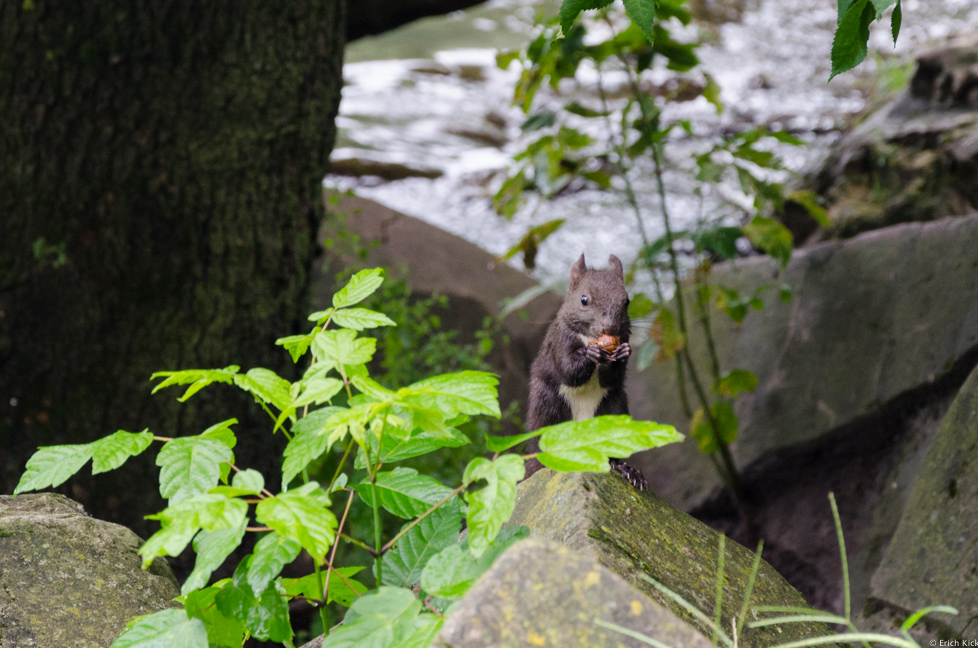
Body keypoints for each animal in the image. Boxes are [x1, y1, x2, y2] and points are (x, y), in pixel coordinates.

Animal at [528, 253, 648, 492]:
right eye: (584, 300)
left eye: (627, 301)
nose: (610, 327)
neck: (590, 338)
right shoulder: (560, 340)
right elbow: (569, 370)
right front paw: (590, 354)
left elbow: (611, 378)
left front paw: (622, 353)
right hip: (547, 408)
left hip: (614, 409)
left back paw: (627, 470)